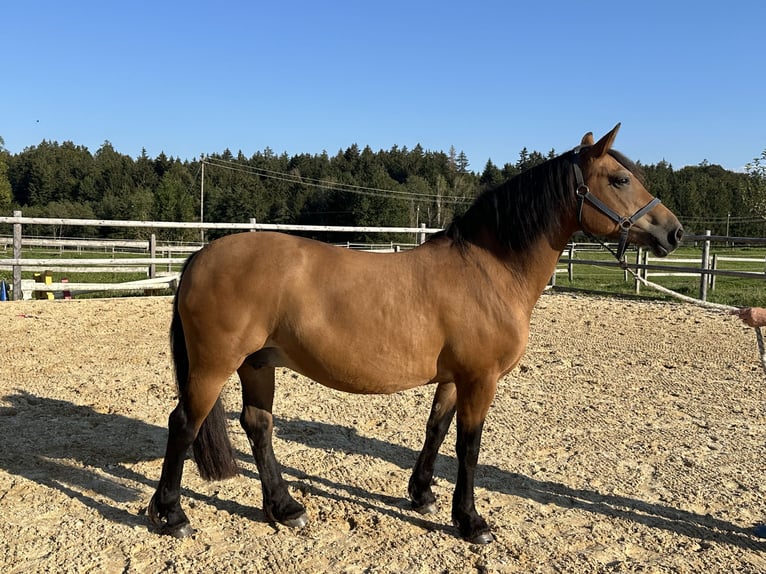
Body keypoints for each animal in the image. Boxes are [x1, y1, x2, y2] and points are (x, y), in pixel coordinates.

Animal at [148, 125, 684, 544]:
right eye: (620, 179)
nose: (674, 232)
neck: (487, 270)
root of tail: (201, 255)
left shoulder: (453, 378)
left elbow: (437, 431)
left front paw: (422, 495)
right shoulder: (480, 380)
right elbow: (469, 446)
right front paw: (471, 521)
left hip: (257, 364)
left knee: (258, 426)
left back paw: (285, 508)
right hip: (214, 367)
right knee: (184, 424)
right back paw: (172, 515)